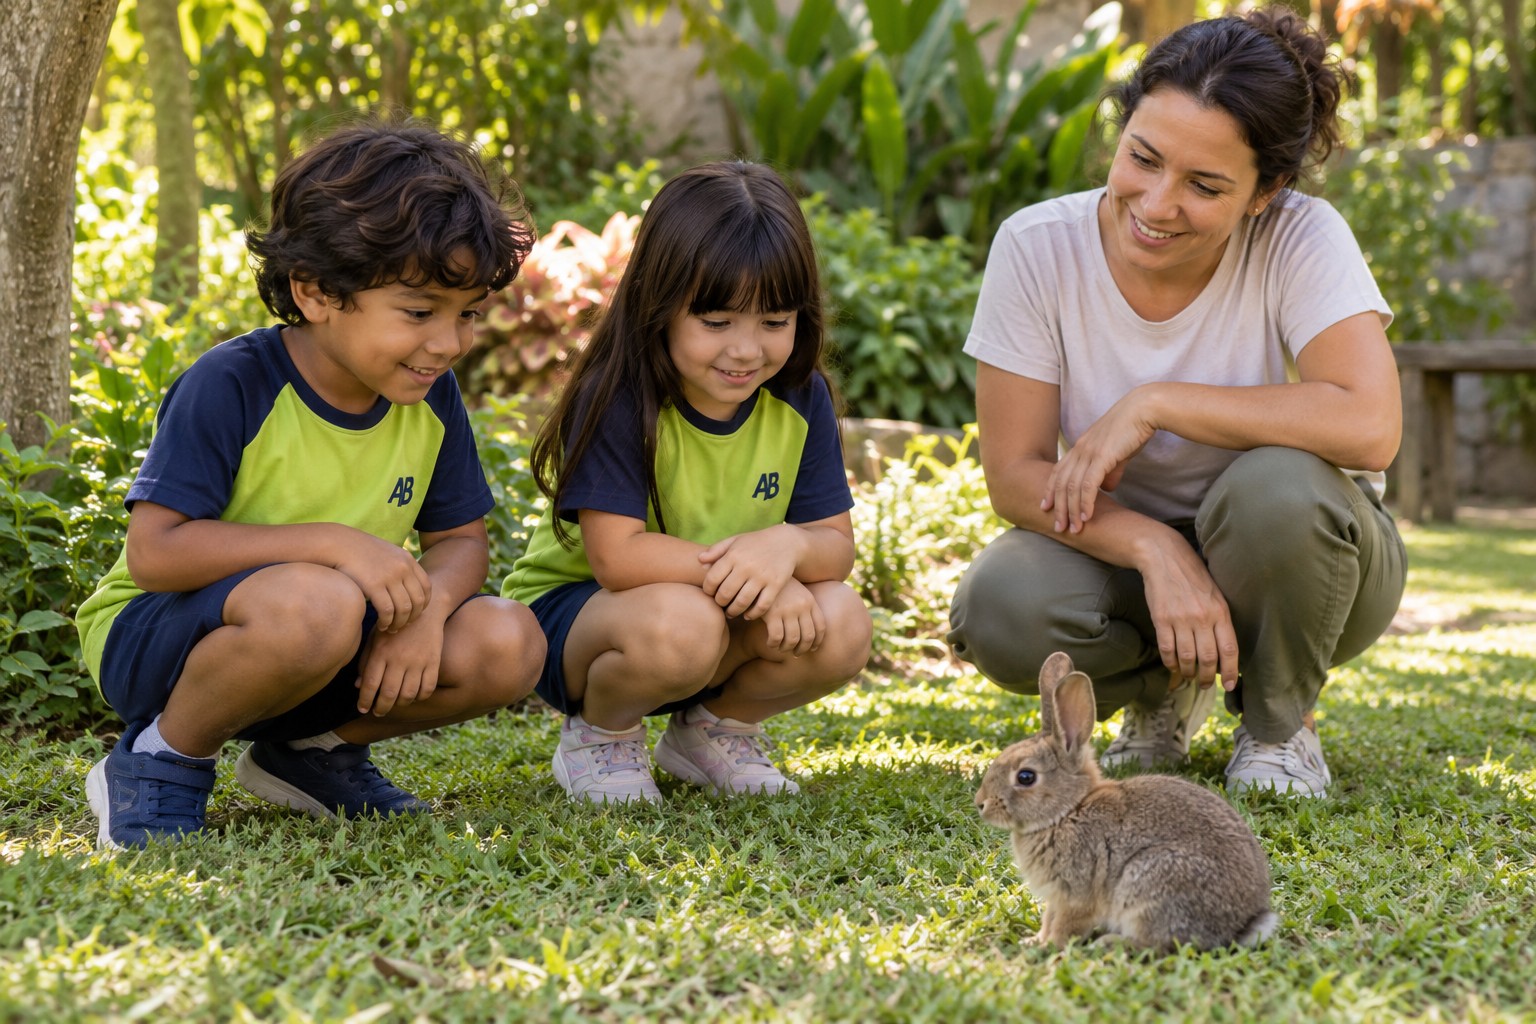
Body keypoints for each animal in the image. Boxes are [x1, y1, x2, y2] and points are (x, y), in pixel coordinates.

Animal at [975, 651, 1279, 951]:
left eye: (1026, 777)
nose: (981, 804)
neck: (1067, 811)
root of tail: (1241, 927)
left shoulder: (1076, 893)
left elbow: (1066, 926)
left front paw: (1047, 947)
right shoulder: (1057, 896)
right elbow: (1050, 919)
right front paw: (1035, 940)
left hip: (1148, 882)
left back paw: (1109, 943)